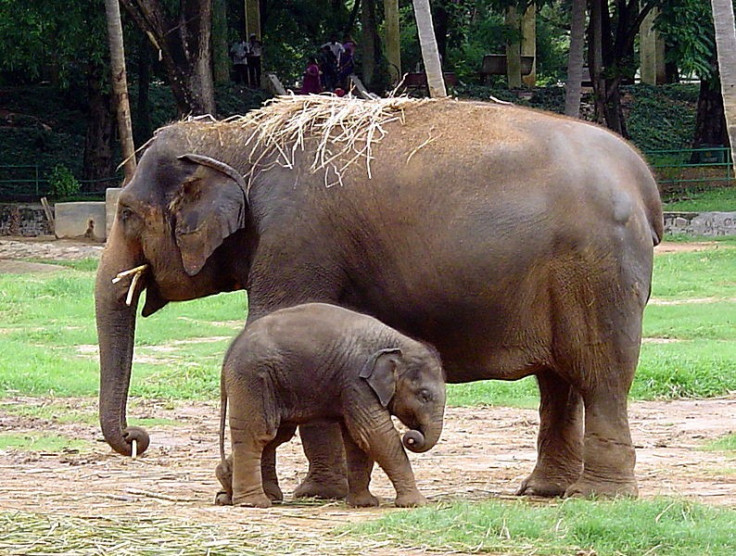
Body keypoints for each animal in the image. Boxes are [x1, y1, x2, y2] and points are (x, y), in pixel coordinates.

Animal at [213, 304, 442, 508]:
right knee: (258, 434)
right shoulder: (356, 380)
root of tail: (230, 350)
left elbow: (357, 438)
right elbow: (374, 433)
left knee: (276, 435)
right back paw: (253, 503)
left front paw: (364, 504)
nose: (411, 437)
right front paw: (416, 503)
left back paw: (225, 489)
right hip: (252, 379)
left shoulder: (350, 386)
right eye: (424, 395)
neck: (395, 342)